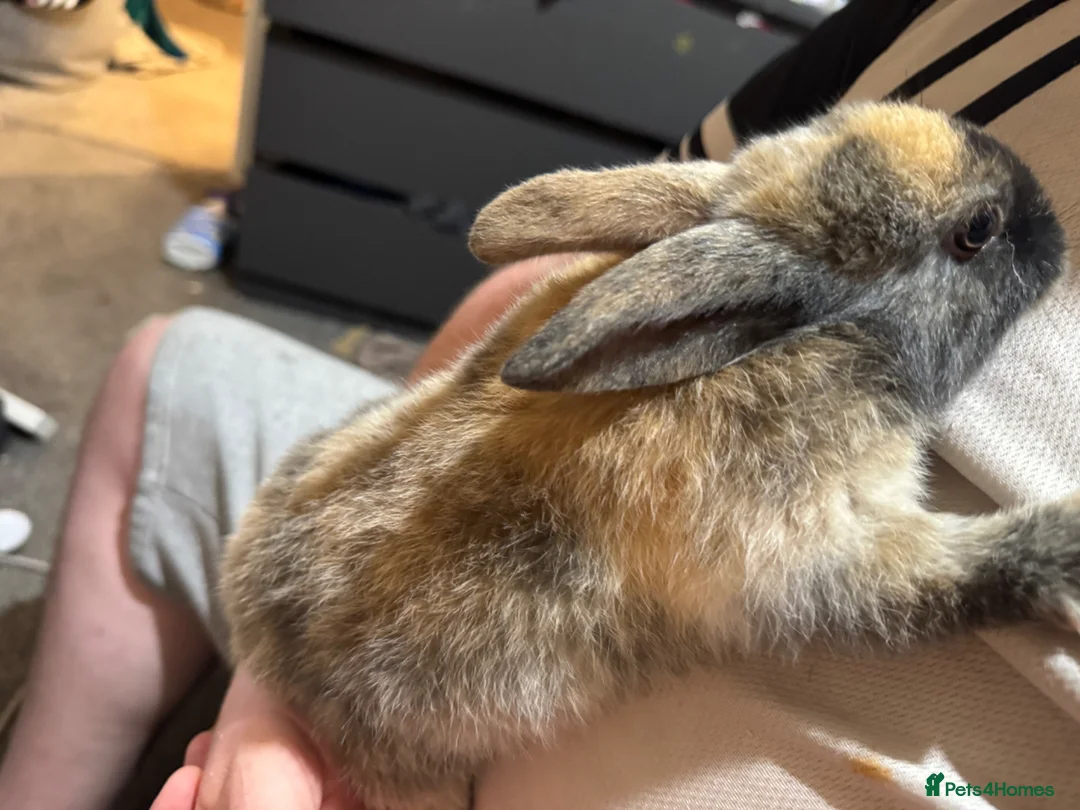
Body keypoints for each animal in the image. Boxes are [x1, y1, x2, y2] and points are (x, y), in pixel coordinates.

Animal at [219, 100, 1077, 810]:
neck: (817, 339)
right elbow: (944, 579)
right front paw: (1065, 545)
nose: (1052, 222)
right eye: (976, 231)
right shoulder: (814, 558)